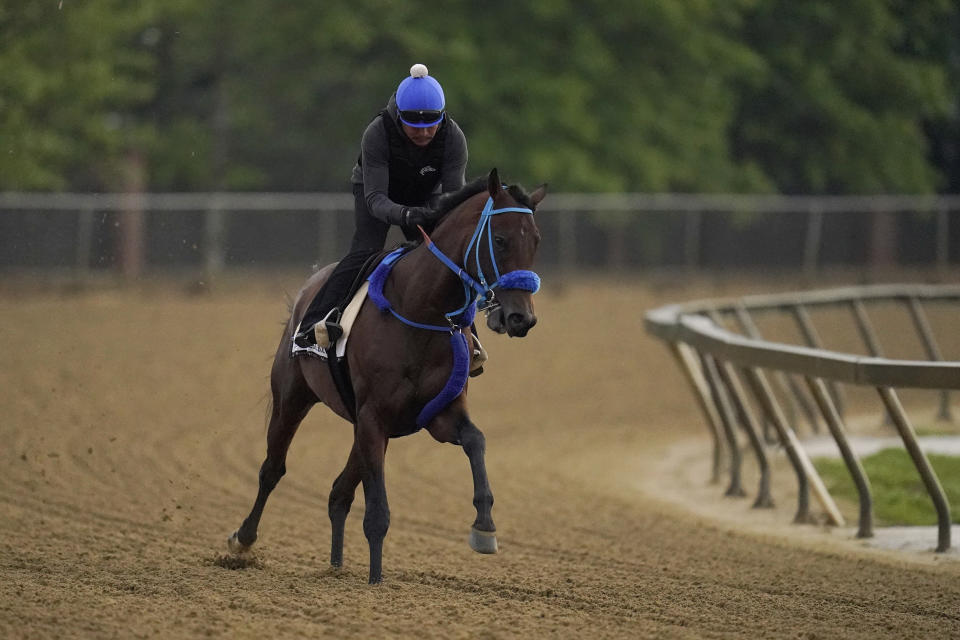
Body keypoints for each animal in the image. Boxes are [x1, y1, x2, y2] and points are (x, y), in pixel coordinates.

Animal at [223, 168, 540, 584]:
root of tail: (310, 286)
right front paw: (375, 581)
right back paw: (243, 540)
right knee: (272, 468)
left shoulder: (436, 413)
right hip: (293, 396)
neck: (420, 309)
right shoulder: (373, 415)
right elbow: (377, 512)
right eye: (500, 240)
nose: (522, 318)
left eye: (536, 241)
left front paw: (484, 527)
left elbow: (475, 439)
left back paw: (335, 564)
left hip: (367, 426)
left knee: (338, 493)